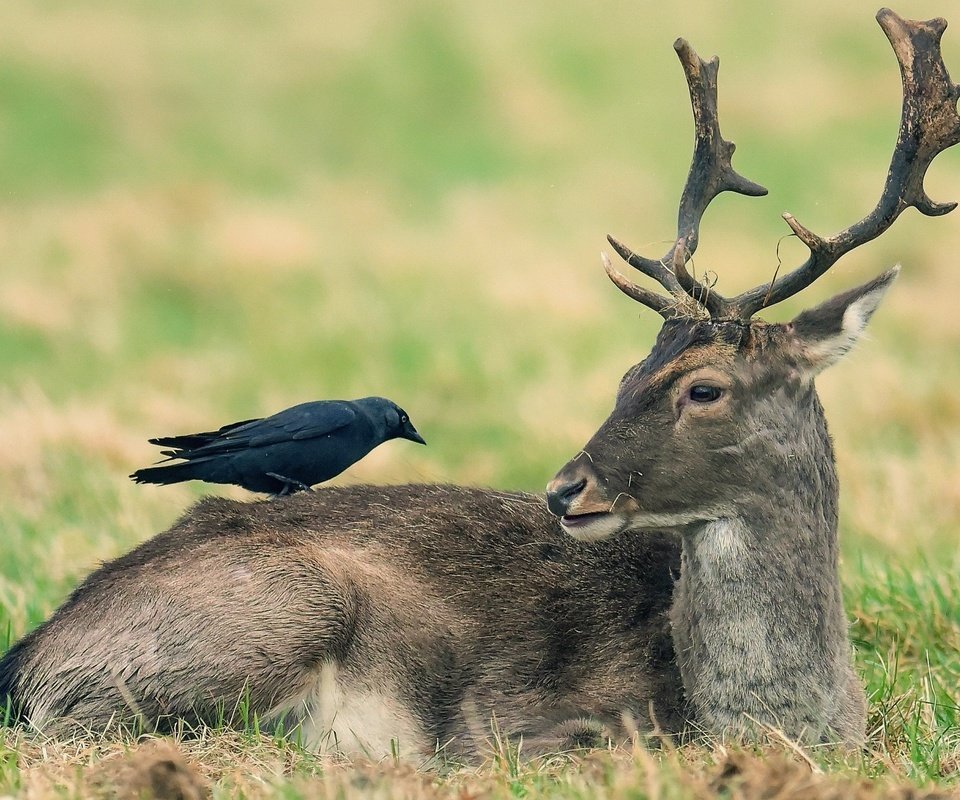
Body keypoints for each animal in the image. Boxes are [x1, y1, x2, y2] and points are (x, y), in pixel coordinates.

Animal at [1, 7, 960, 764]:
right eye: (628, 372)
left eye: (704, 389)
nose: (565, 488)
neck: (783, 719)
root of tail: (28, 656)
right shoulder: (537, 730)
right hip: (274, 613)